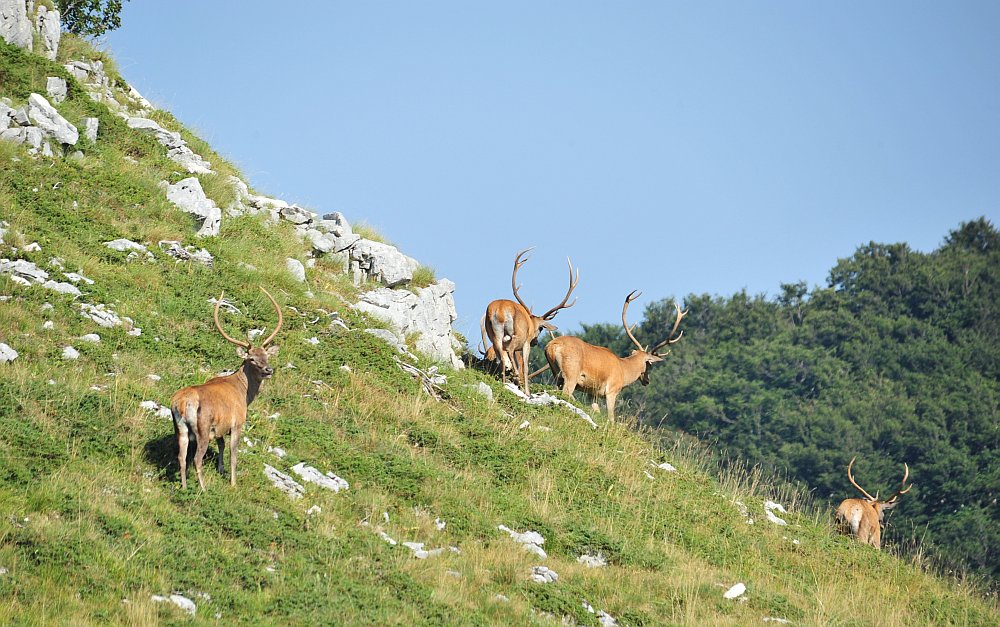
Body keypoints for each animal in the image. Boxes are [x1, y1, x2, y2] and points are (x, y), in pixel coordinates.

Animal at [170, 288, 284, 490]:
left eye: (266, 356)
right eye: (251, 358)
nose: (268, 370)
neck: (244, 393)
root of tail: (182, 403)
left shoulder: (219, 429)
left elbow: (222, 446)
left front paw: (221, 470)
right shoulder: (237, 424)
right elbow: (233, 455)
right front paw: (233, 483)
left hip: (180, 428)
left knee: (182, 457)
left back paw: (183, 487)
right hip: (202, 428)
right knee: (196, 459)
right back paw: (203, 489)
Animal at [540, 294, 688, 422]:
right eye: (649, 364)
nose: (647, 380)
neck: (623, 370)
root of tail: (552, 346)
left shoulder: (593, 393)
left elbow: (596, 410)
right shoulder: (612, 390)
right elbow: (611, 418)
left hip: (556, 374)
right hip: (571, 373)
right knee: (566, 392)